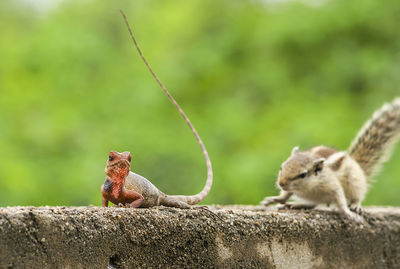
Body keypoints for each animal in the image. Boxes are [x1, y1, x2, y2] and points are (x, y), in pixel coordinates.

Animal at [100, 11, 212, 209]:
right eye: (111, 156)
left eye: (129, 157)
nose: (123, 161)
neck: (118, 182)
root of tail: (161, 192)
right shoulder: (104, 190)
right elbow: (104, 202)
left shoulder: (134, 195)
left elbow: (138, 200)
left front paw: (128, 207)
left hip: (163, 199)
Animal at [260, 97, 398, 221]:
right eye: (281, 167)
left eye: (303, 174)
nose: (281, 183)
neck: (307, 188)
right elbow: (285, 195)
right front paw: (275, 199)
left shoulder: (332, 184)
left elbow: (340, 198)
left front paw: (347, 212)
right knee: (313, 204)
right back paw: (296, 204)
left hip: (354, 181)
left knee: (357, 195)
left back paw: (355, 205)